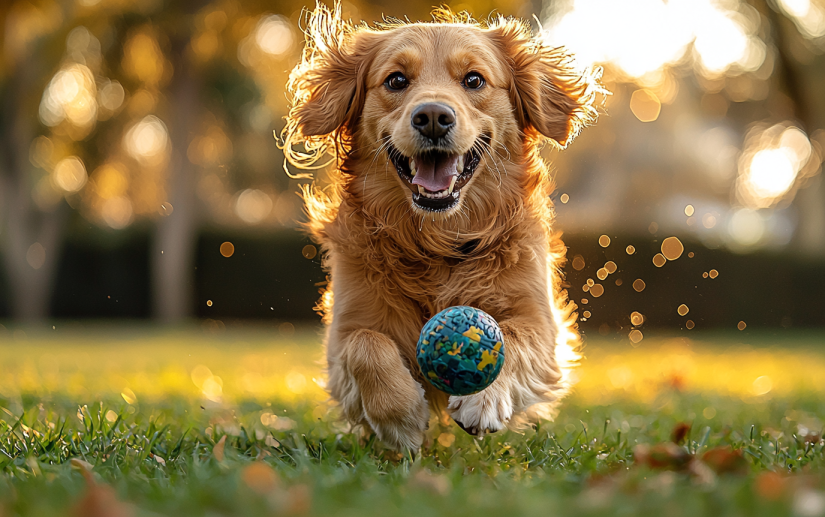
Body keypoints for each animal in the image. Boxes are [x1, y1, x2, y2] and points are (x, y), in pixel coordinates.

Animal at [280, 3, 600, 448]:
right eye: (396, 80)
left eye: (474, 79)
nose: (432, 116)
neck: (437, 242)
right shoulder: (343, 332)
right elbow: (365, 344)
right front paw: (400, 415)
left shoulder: (540, 322)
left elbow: (513, 338)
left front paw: (484, 398)